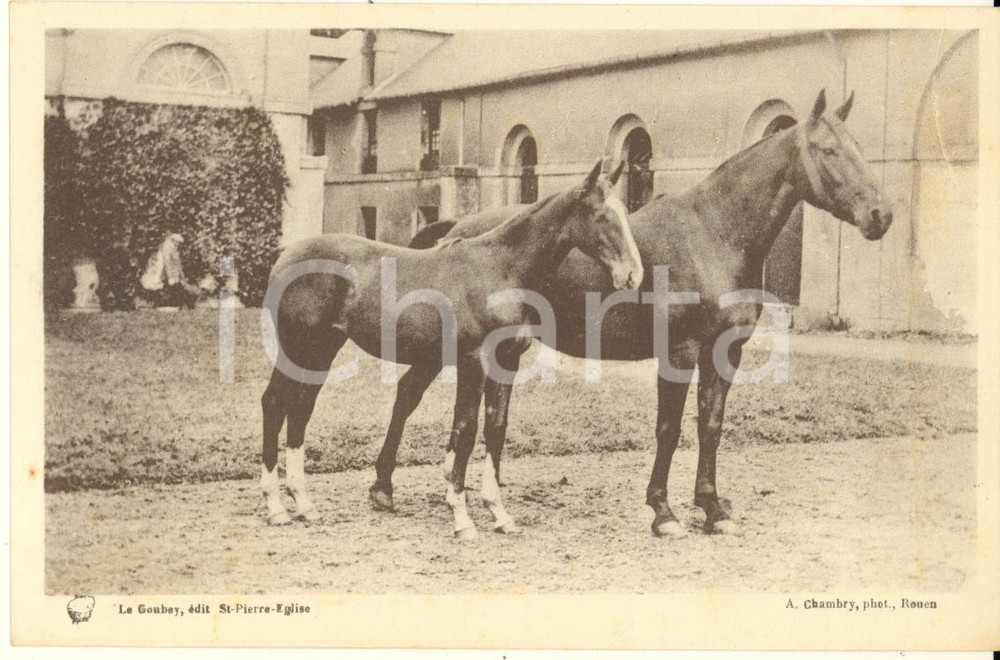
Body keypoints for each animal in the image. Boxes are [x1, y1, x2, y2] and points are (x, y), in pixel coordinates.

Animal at [259, 161, 643, 539]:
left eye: (626, 212)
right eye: (601, 215)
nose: (633, 276)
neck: (502, 269)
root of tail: (285, 256)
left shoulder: (507, 361)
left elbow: (496, 428)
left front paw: (498, 512)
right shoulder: (473, 361)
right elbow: (467, 429)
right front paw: (462, 517)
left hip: (322, 349)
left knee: (301, 408)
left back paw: (304, 504)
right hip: (296, 347)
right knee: (275, 403)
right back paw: (276, 507)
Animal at [378, 89, 894, 538]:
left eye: (859, 147)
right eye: (827, 149)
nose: (881, 215)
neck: (714, 235)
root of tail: (457, 229)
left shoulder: (725, 352)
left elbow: (711, 426)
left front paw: (712, 509)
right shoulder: (680, 352)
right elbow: (669, 429)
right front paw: (663, 513)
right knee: (407, 395)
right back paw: (384, 489)